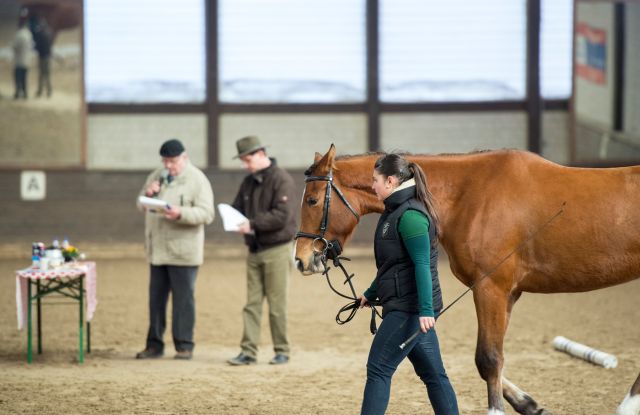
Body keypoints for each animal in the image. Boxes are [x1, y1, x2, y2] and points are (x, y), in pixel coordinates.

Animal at [294, 145, 640, 415]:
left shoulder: (490, 288)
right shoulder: (506, 293)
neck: (469, 195)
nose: (301, 259)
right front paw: (528, 403)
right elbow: (492, 358)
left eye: (312, 200)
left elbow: (488, 359)